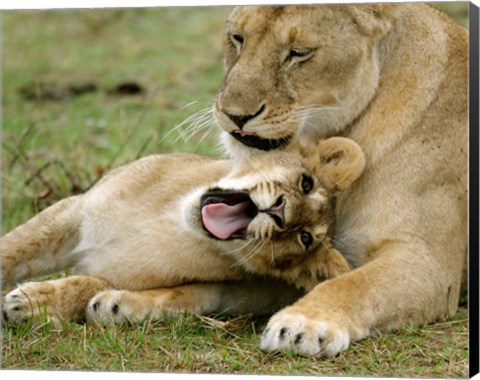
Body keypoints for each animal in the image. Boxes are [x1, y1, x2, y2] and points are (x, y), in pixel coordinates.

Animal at [2, 137, 364, 326]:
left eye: (304, 238)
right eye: (306, 183)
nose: (279, 212)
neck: (169, 219)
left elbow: (86, 283)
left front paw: (32, 300)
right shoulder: (74, 210)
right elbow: (14, 248)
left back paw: (112, 307)